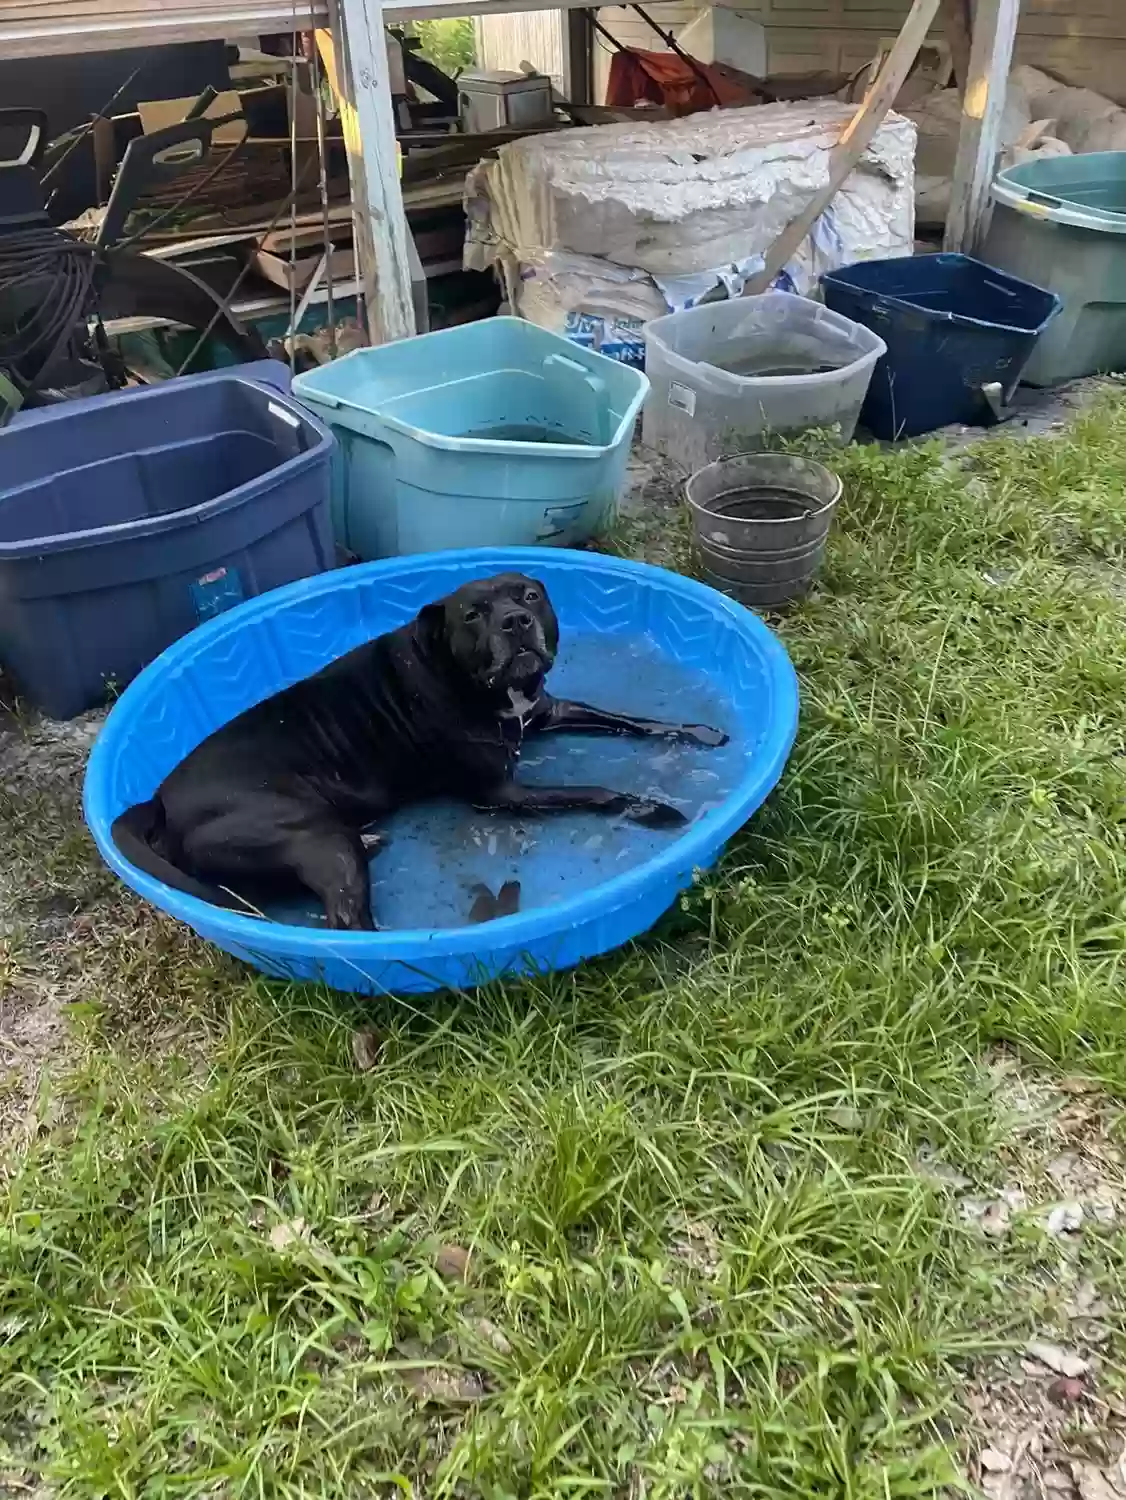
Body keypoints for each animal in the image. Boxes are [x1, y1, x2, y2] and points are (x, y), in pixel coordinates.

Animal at [112, 570, 731, 924]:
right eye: (474, 615)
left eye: (530, 595)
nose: (516, 621)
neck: (468, 681)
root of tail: (159, 801)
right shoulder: (503, 793)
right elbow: (595, 790)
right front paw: (652, 808)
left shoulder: (548, 712)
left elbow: (631, 720)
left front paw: (698, 733)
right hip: (314, 838)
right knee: (344, 925)